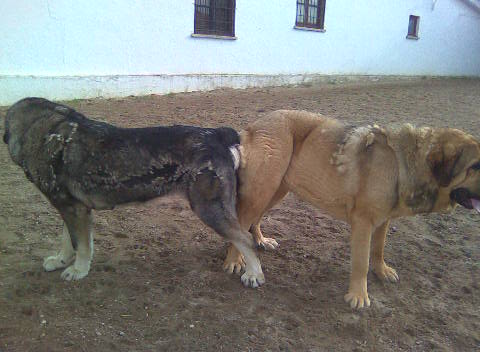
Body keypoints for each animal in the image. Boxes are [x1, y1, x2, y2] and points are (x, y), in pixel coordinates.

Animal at [3, 97, 264, 288]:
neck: (47, 133)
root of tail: (217, 135)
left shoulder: (74, 210)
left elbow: (81, 245)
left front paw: (78, 270)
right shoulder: (71, 208)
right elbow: (68, 240)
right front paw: (61, 260)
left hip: (209, 209)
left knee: (245, 239)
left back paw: (254, 274)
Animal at [224, 109, 480, 308]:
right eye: (475, 166)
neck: (403, 164)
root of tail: (251, 126)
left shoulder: (384, 220)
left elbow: (378, 249)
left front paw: (382, 270)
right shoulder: (363, 223)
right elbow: (361, 262)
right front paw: (358, 295)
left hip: (276, 189)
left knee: (253, 221)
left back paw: (260, 240)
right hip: (264, 187)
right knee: (241, 222)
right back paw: (234, 260)